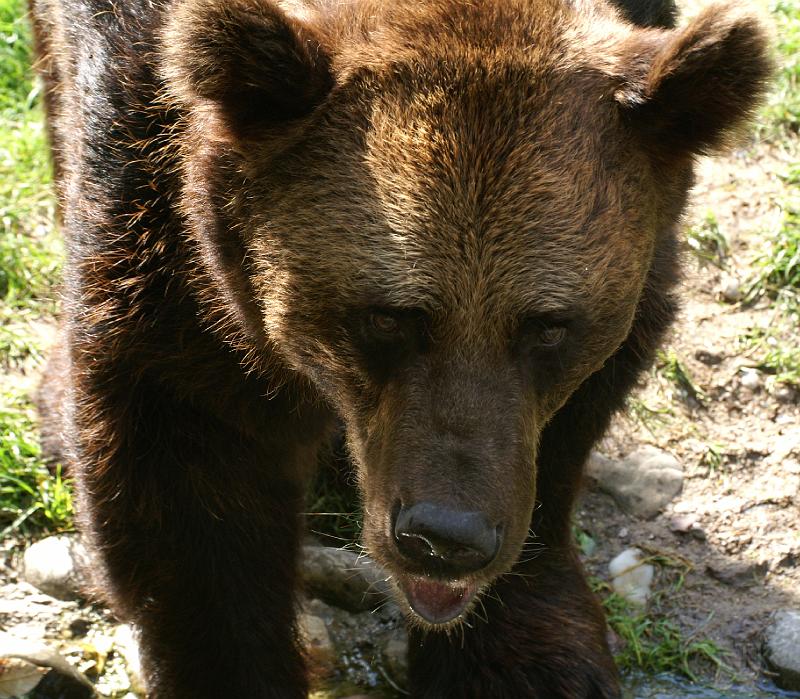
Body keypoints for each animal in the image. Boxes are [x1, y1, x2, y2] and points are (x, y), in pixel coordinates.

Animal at [29, 0, 768, 696]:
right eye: (388, 317)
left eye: (549, 325)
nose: (445, 538)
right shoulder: (163, 231)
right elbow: (192, 480)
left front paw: (521, 659)